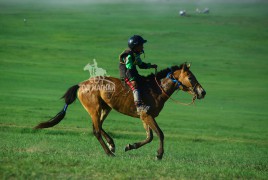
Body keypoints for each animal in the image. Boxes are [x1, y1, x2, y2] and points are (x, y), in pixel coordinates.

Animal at [33, 62, 205, 160]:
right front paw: (159, 154)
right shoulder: (147, 115)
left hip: (105, 108)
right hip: (95, 108)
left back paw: (112, 144)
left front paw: (130, 146)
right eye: (190, 78)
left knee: (98, 126)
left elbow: (149, 137)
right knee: (96, 130)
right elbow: (160, 134)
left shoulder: (144, 116)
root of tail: (81, 84)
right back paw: (109, 152)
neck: (156, 89)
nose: (202, 92)